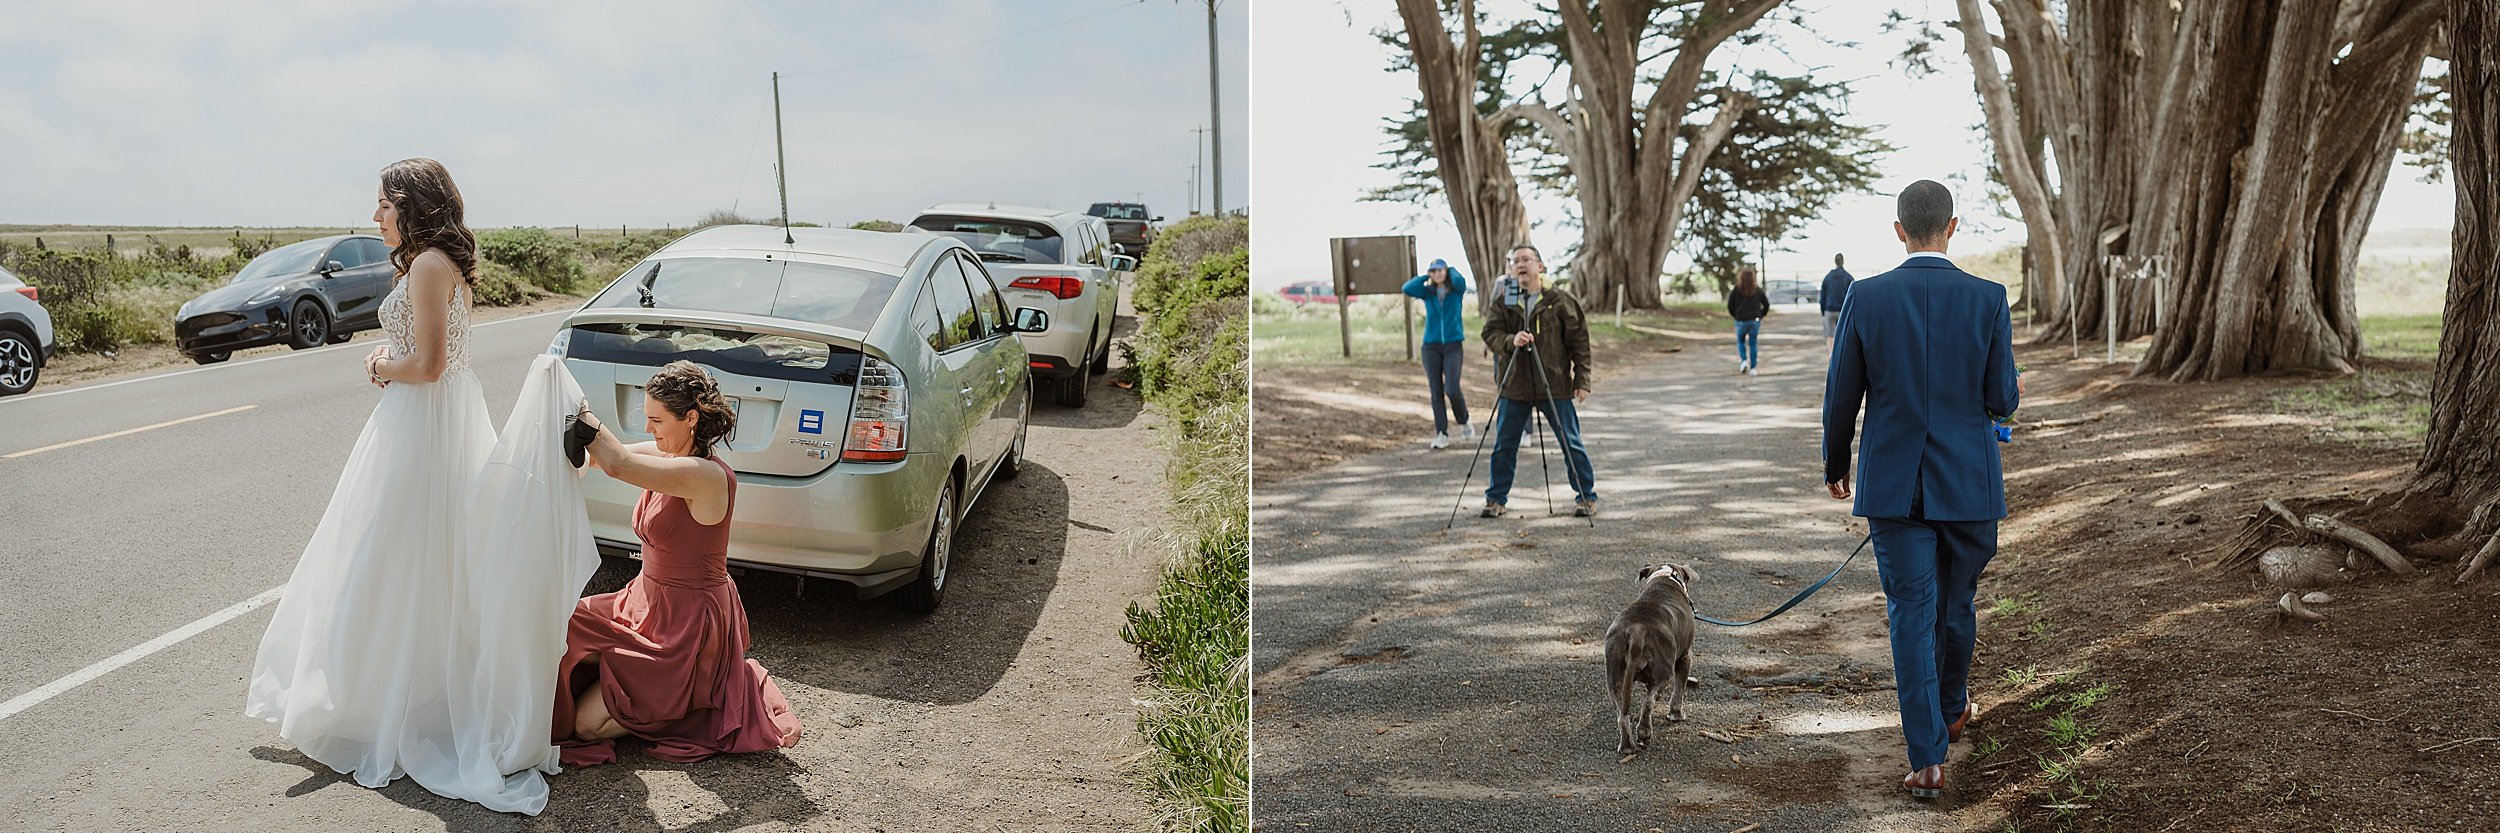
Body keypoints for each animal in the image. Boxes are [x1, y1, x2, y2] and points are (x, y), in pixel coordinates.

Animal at [1600, 557, 1700, 750]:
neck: (1664, 576)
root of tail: (1636, 630)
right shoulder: (1685, 656)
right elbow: (1679, 689)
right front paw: (1676, 715)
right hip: (1664, 670)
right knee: (1649, 701)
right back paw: (1644, 732)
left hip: (1614, 672)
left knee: (1621, 714)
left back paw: (1627, 746)